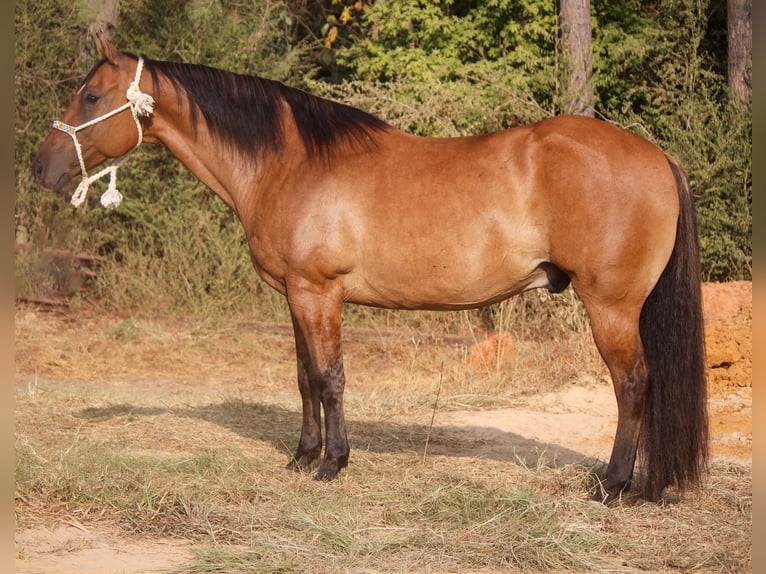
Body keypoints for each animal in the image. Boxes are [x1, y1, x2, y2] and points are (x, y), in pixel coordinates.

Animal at [34, 33, 708, 506]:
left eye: (91, 96)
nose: (43, 167)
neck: (290, 163)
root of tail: (656, 156)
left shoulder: (319, 293)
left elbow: (330, 378)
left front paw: (332, 464)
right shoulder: (294, 295)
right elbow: (305, 378)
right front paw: (302, 458)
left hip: (611, 306)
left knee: (633, 385)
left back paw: (613, 487)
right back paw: (645, 486)